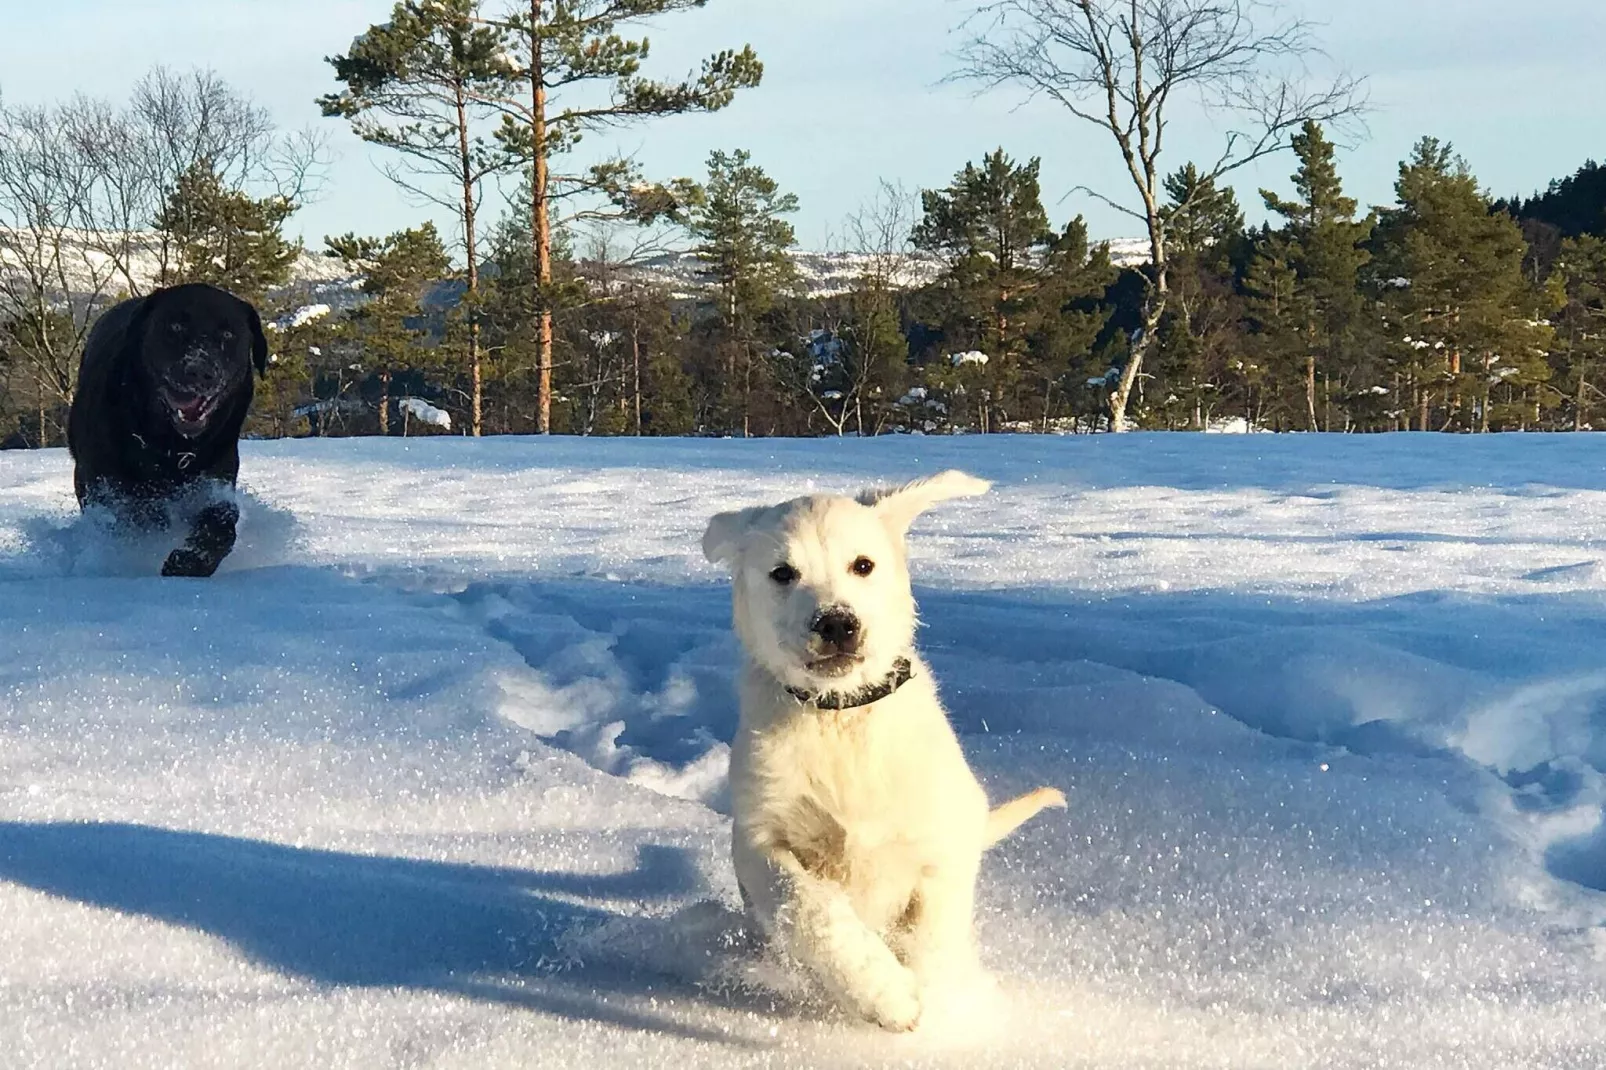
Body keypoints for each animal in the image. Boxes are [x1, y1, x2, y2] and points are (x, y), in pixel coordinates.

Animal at [66, 279, 266, 571]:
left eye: (228, 335)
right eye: (175, 327)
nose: (199, 371)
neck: (169, 448)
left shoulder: (213, 481)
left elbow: (222, 519)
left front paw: (192, 558)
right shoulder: (99, 482)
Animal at [706, 465, 1066, 1028]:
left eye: (863, 565)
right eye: (783, 573)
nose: (837, 622)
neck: (841, 718)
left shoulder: (942, 844)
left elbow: (929, 937)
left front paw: (929, 1001)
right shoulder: (760, 837)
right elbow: (808, 908)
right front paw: (884, 993)